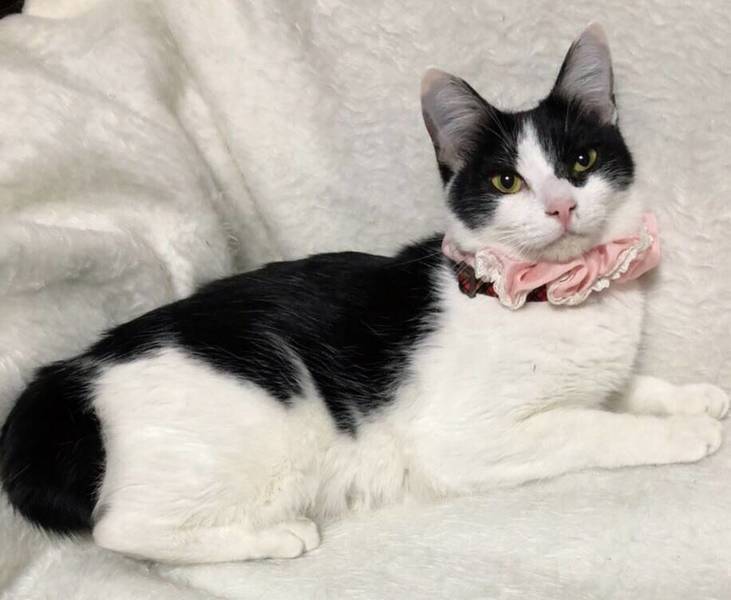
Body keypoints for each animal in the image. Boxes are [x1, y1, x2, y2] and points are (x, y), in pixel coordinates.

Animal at [1, 24, 728, 564]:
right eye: (506, 181)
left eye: (580, 162)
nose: (560, 206)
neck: (561, 296)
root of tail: (76, 370)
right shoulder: (465, 438)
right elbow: (589, 424)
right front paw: (682, 431)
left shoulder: (595, 373)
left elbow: (621, 388)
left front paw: (692, 396)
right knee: (119, 528)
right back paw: (275, 536)